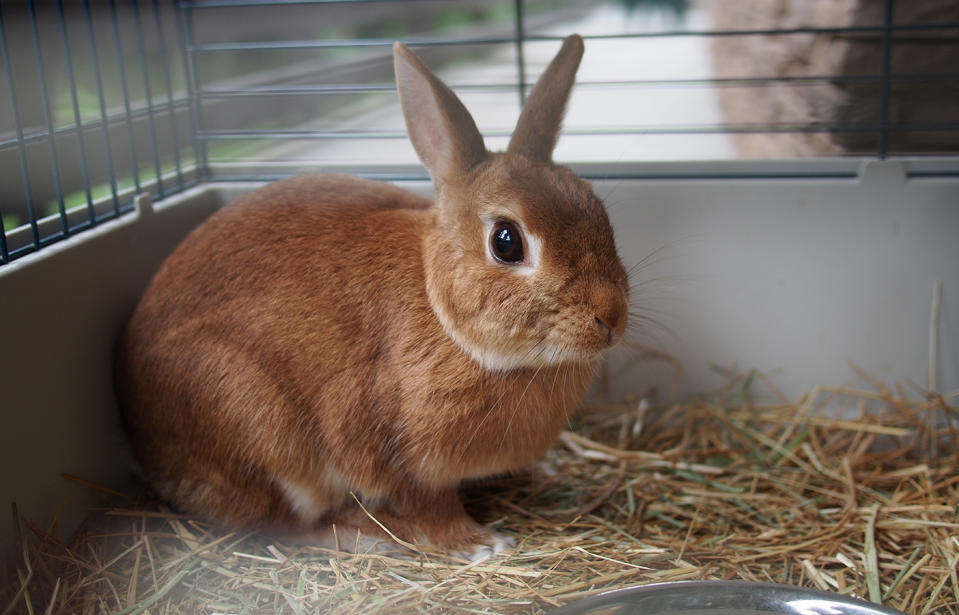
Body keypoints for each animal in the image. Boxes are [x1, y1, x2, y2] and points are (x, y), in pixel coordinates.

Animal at [114, 35, 632, 564]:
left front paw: (540, 472)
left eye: (599, 210)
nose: (610, 316)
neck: (444, 316)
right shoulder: (393, 451)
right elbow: (430, 506)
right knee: (279, 523)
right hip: (255, 424)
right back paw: (363, 535)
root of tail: (144, 444)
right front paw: (479, 543)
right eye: (506, 242)